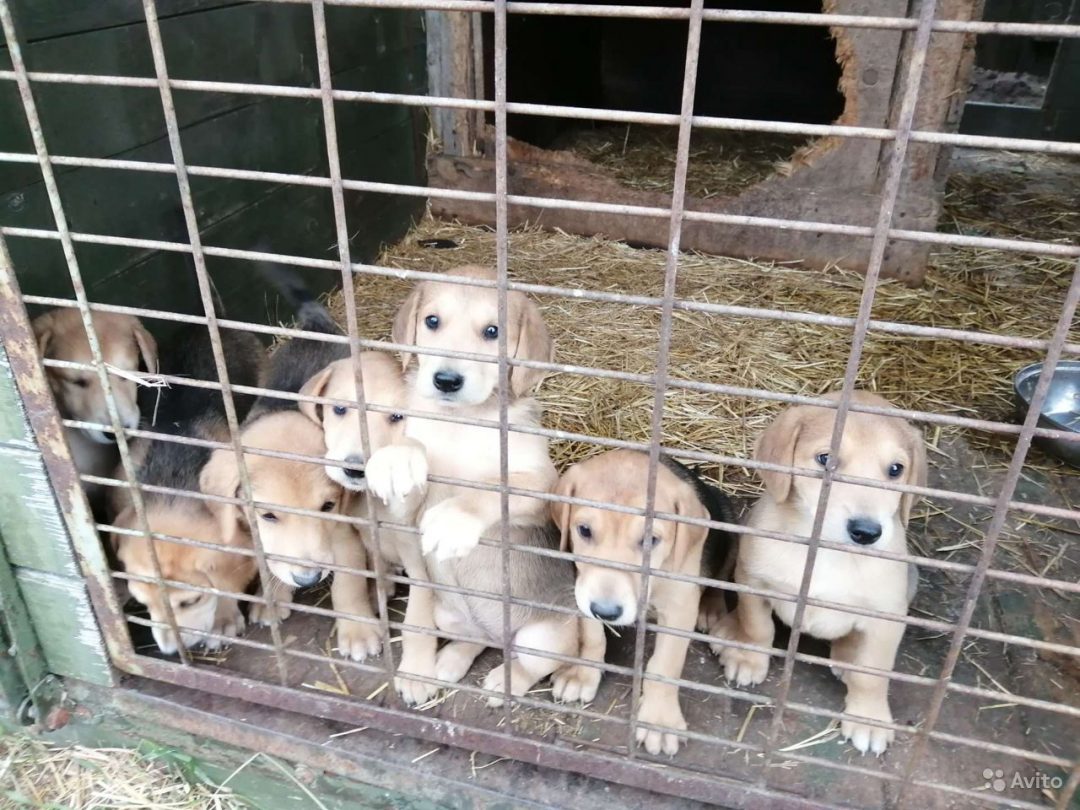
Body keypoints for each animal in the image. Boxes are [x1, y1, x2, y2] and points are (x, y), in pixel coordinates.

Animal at [367, 267, 596, 708]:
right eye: (432, 321)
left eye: (493, 331)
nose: (446, 380)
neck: (462, 423)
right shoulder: (407, 515)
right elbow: (414, 452)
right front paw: (396, 459)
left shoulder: (542, 485)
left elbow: (491, 490)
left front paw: (455, 520)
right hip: (449, 614)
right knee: (476, 640)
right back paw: (450, 660)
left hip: (540, 638)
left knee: (530, 664)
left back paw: (503, 684)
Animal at [552, 453, 738, 760]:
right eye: (584, 530)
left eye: (652, 540)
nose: (606, 612)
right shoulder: (582, 583)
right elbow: (592, 636)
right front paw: (582, 673)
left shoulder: (679, 607)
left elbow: (665, 665)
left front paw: (659, 722)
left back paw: (711, 607)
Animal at [708, 390, 928, 760]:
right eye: (826, 459)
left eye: (896, 469)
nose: (866, 532)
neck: (827, 551)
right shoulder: (754, 581)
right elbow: (758, 627)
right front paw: (749, 657)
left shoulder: (887, 617)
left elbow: (873, 673)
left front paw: (869, 719)